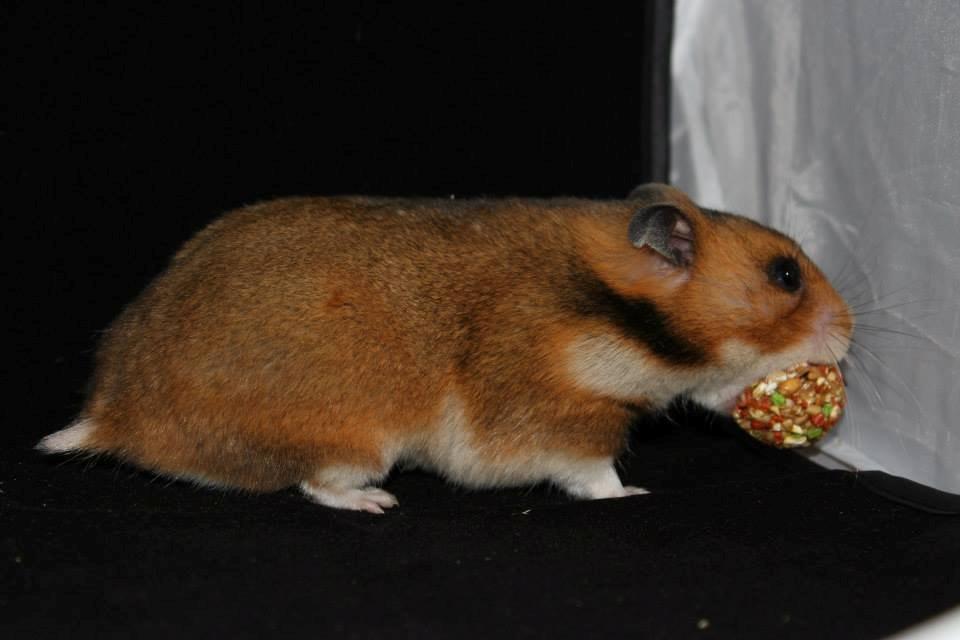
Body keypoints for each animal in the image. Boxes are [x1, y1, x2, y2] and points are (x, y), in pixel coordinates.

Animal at [39, 184, 853, 513]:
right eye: (785, 275)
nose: (849, 333)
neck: (611, 312)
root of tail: (115, 417)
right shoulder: (562, 422)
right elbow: (595, 476)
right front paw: (635, 496)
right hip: (356, 438)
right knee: (318, 485)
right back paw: (377, 503)